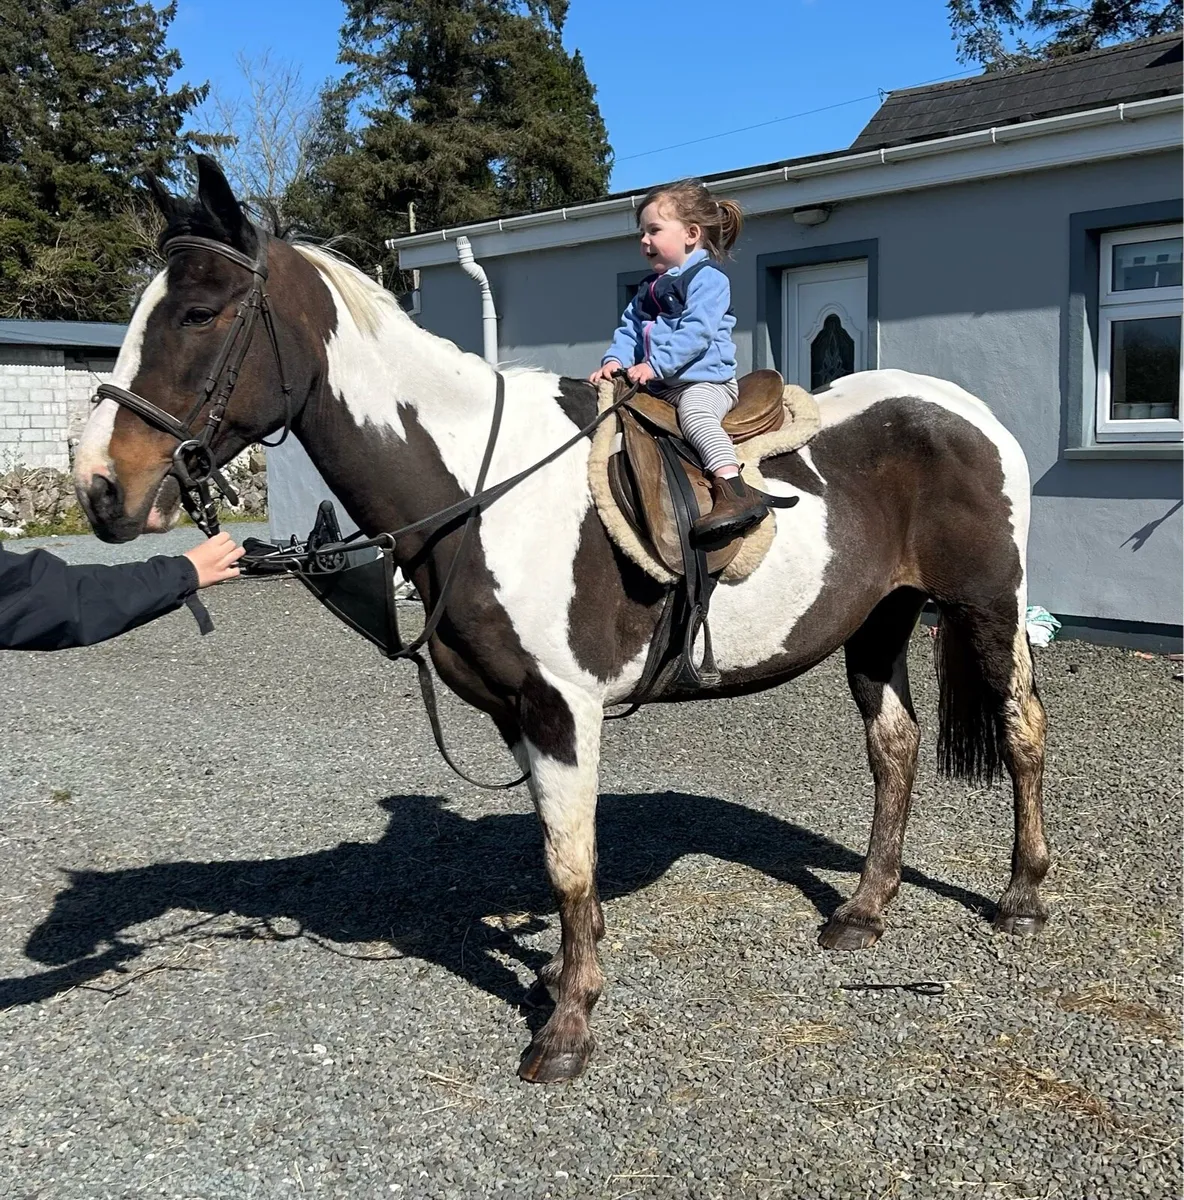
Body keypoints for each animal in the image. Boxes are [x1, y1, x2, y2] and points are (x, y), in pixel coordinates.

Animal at [74, 157, 1050, 1084]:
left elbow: (569, 863)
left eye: (199, 312)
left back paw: (1024, 895)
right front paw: (559, 976)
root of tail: (971, 413)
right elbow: (558, 854)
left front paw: (568, 1027)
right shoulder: (516, 711)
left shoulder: (561, 709)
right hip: (878, 623)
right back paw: (864, 910)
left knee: (1022, 731)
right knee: (895, 748)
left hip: (988, 609)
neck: (477, 487)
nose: (100, 488)